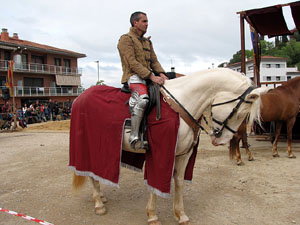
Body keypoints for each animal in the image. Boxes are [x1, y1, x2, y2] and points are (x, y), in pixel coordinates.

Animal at [72, 67, 268, 224]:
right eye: (240, 113)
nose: (220, 140)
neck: (181, 103)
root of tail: (79, 98)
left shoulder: (183, 155)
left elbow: (179, 182)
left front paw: (181, 215)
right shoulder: (161, 152)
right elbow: (155, 183)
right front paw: (152, 215)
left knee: (95, 173)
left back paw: (101, 197)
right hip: (91, 145)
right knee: (91, 173)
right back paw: (98, 204)